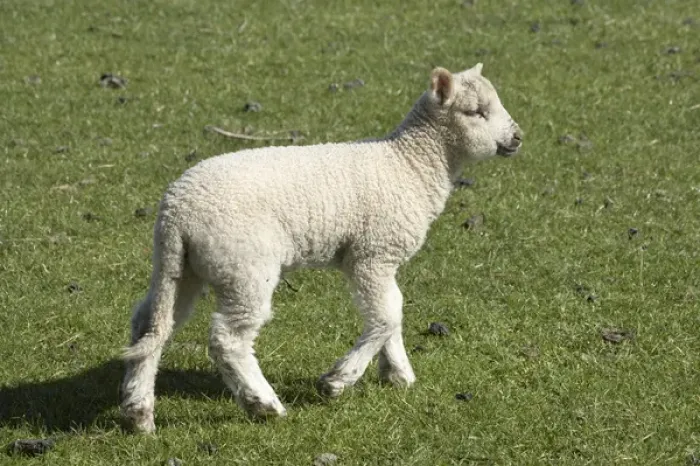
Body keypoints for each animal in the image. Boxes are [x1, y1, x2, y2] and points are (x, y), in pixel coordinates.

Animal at [119, 63, 523, 433]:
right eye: (476, 112)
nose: (517, 137)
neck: (410, 164)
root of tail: (177, 212)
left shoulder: (376, 258)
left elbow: (394, 311)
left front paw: (397, 373)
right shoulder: (372, 254)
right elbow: (386, 316)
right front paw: (339, 380)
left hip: (181, 267)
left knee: (150, 326)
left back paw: (138, 411)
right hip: (245, 267)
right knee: (228, 340)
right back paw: (263, 404)